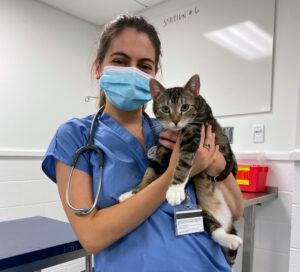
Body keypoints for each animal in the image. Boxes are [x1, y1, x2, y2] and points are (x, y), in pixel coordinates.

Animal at [118, 74, 243, 266]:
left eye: (185, 107)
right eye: (165, 108)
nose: (176, 121)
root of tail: (225, 219)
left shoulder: (194, 133)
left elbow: (183, 161)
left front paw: (175, 190)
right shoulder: (163, 148)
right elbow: (151, 171)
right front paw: (132, 194)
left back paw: (233, 241)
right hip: (203, 213)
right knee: (215, 230)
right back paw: (229, 239)